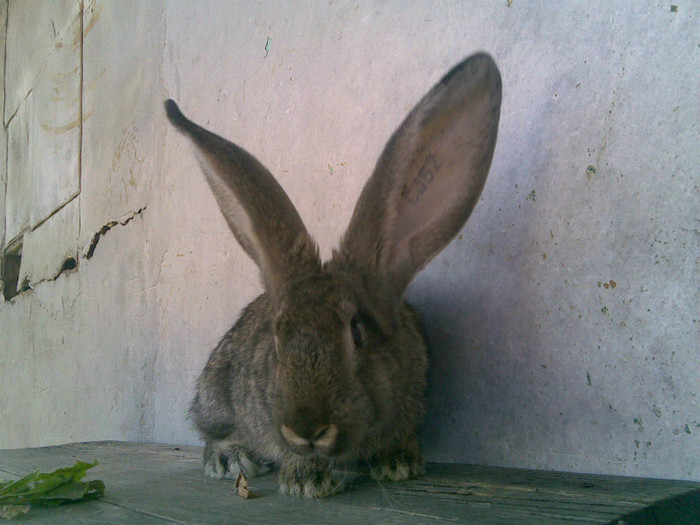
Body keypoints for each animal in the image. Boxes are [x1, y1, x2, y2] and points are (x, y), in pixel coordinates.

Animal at [165, 51, 498, 498]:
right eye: (276, 339)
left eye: (357, 333)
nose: (307, 429)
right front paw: (306, 480)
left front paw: (400, 462)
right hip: (215, 394)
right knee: (209, 432)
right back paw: (232, 458)